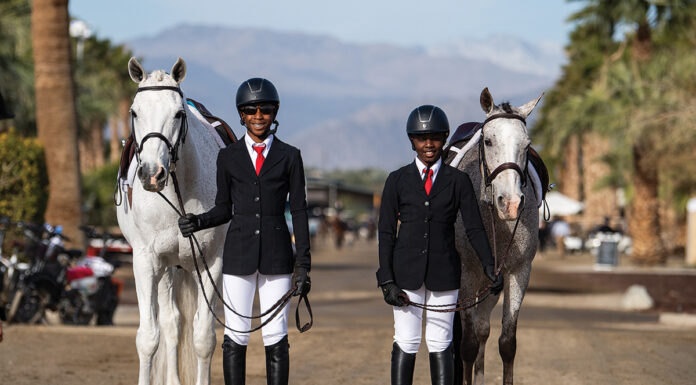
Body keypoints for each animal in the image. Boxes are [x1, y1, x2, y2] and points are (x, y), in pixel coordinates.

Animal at [116, 57, 226, 384]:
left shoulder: (211, 263)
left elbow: (203, 338)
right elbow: (148, 337)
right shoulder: (145, 262)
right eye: (134, 112)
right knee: (171, 324)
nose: (152, 173)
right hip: (165, 268)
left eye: (178, 113)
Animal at [452, 88, 544, 384]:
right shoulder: (466, 274)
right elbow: (467, 345)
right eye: (489, 141)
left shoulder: (517, 271)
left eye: (527, 145)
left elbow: (506, 343)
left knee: (483, 329)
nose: (511, 203)